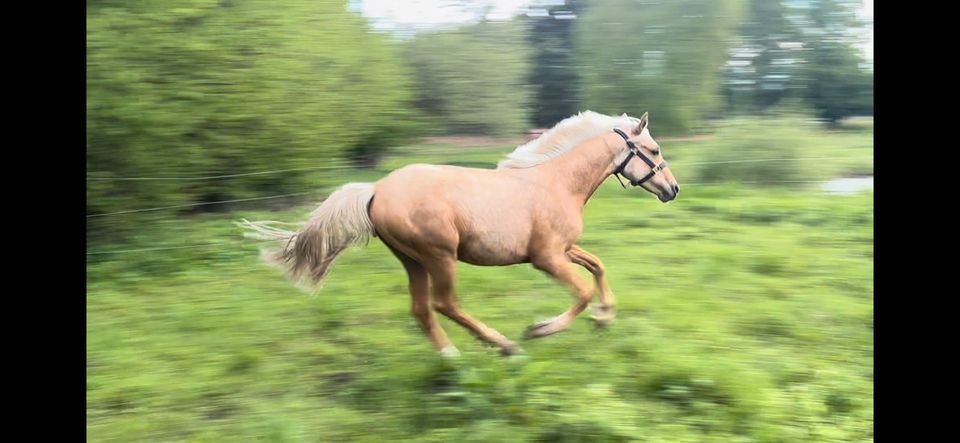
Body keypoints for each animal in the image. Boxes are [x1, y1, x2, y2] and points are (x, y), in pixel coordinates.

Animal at [240, 112, 680, 358]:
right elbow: (583, 291)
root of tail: (376, 189)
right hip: (440, 255)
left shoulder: (564, 249)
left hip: (412, 260)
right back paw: (504, 345)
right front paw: (541, 329)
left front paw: (605, 319)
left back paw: (450, 357)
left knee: (422, 309)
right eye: (655, 151)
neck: (557, 182)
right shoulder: (547, 257)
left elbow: (599, 268)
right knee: (445, 304)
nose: (673, 189)